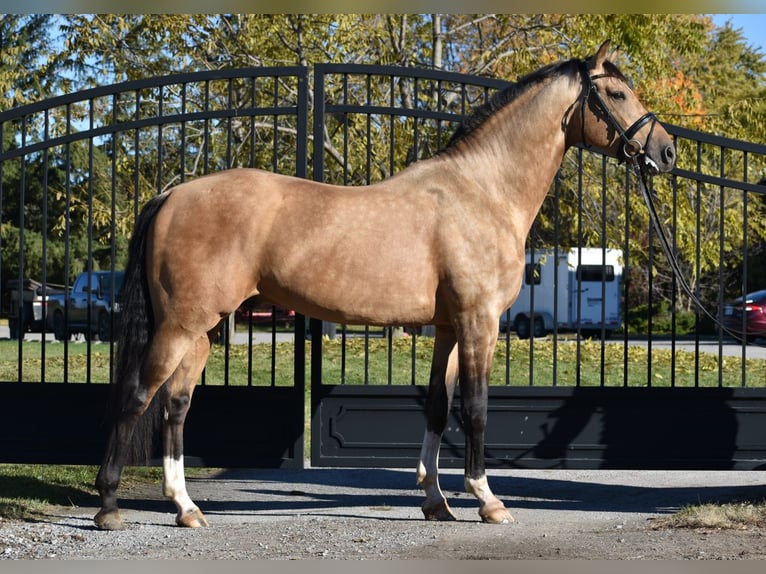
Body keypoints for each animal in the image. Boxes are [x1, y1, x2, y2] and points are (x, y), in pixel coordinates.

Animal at [94, 40, 676, 530]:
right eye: (617, 93)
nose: (667, 152)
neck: (481, 192)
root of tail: (171, 195)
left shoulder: (448, 328)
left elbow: (438, 406)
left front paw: (436, 502)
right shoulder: (479, 322)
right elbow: (476, 407)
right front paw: (487, 500)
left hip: (202, 330)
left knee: (174, 405)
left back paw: (186, 508)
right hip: (181, 324)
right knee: (137, 395)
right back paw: (109, 507)